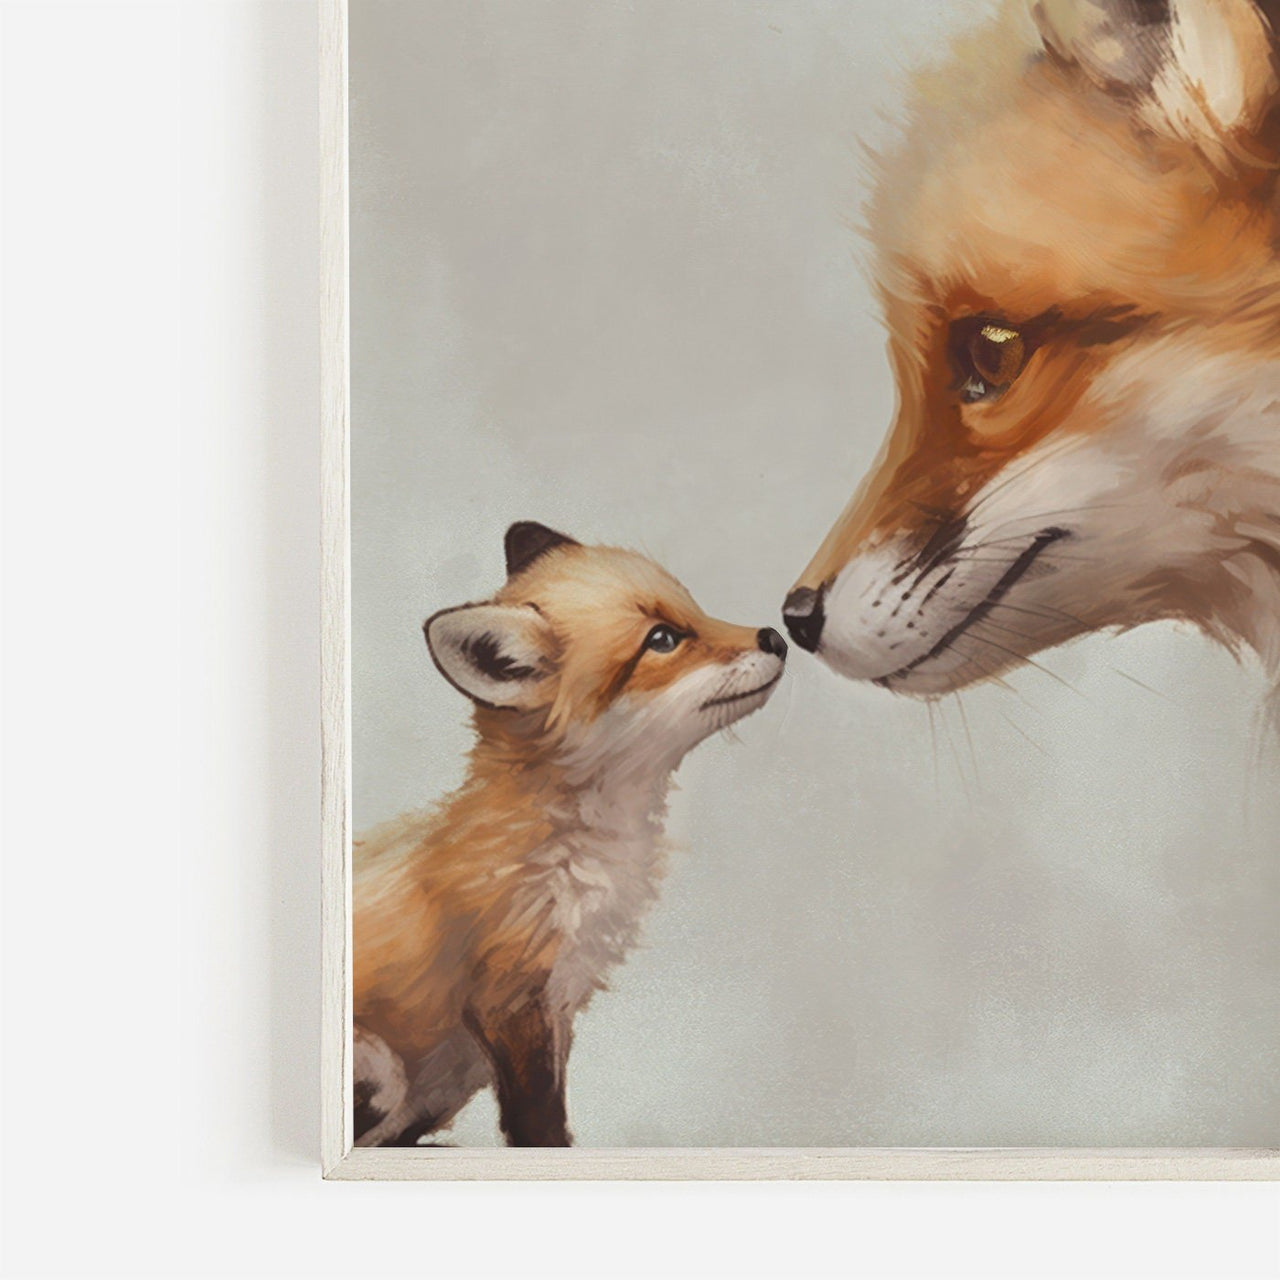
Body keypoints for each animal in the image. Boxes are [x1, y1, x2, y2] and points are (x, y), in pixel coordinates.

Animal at [352, 522, 788, 1147]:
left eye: (696, 610)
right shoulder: (510, 1002)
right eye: (662, 639)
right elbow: (539, 1126)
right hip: (385, 1074)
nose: (776, 637)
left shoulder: (557, 1005)